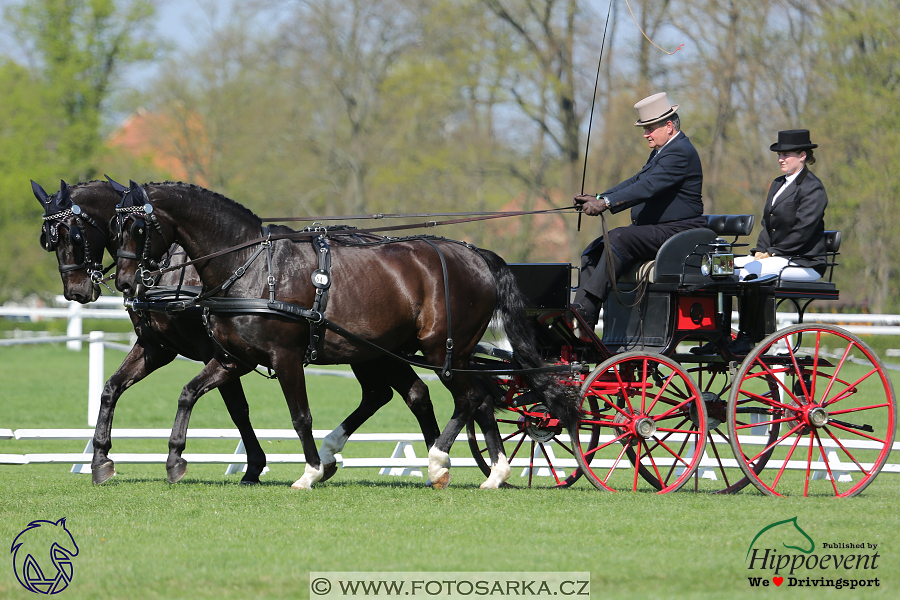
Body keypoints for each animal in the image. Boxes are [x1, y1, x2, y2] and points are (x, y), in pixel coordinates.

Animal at [114, 182, 576, 488]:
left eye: (138, 228)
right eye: (115, 228)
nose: (124, 282)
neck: (252, 266)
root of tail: (474, 254)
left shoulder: (284, 357)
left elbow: (300, 415)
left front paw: (310, 471)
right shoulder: (234, 358)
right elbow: (189, 393)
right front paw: (175, 459)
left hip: (442, 350)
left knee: (471, 397)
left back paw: (444, 461)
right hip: (403, 352)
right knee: (467, 397)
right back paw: (486, 470)